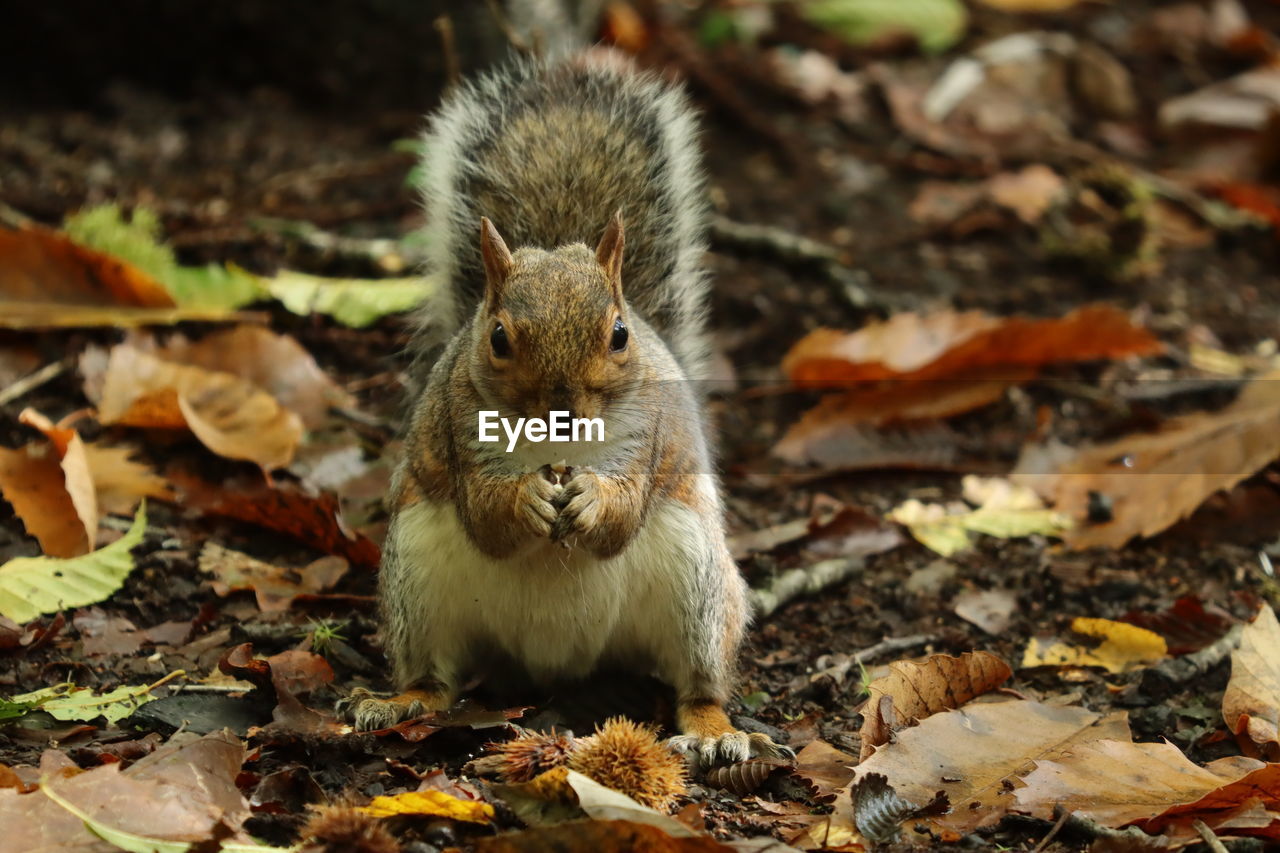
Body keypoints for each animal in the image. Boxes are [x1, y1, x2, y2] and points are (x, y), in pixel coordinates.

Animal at [345, 53, 793, 768]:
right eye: (498, 338)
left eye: (619, 334)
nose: (561, 409)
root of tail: (556, 665)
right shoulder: (460, 433)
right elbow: (488, 517)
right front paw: (527, 499)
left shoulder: (645, 437)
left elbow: (621, 515)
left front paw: (589, 500)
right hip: (416, 579)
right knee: (437, 674)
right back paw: (403, 701)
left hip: (697, 586)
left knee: (696, 684)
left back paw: (713, 732)